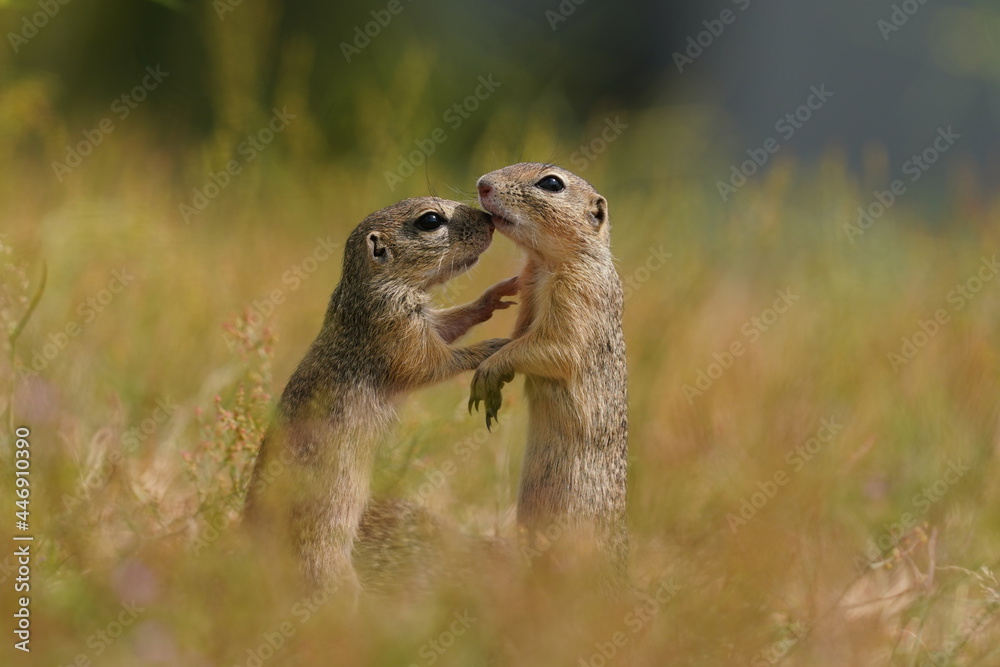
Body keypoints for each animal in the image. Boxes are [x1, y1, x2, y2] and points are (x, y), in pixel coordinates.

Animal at [243, 197, 518, 596]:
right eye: (430, 220)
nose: (490, 220)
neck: (367, 290)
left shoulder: (423, 322)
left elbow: (450, 323)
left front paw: (494, 297)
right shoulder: (399, 336)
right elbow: (435, 363)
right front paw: (493, 347)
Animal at [470, 163, 630, 591]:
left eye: (552, 183)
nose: (482, 184)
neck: (545, 262)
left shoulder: (576, 301)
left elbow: (550, 349)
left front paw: (489, 372)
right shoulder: (527, 289)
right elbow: (516, 337)